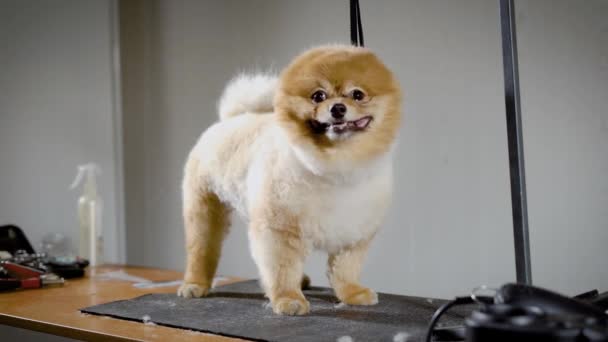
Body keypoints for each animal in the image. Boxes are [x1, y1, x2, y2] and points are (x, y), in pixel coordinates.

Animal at [178, 44, 402, 316]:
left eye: (358, 95)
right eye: (318, 96)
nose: (337, 108)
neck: (335, 167)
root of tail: (232, 118)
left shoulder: (354, 231)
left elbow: (345, 268)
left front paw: (352, 293)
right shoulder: (280, 228)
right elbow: (282, 268)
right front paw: (288, 299)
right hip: (205, 206)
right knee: (201, 248)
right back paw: (195, 284)